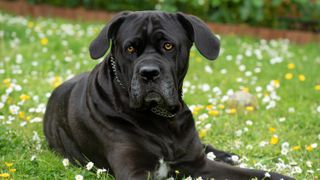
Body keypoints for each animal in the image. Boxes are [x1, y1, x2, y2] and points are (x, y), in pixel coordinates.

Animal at [43, 11, 294, 180]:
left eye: (168, 46)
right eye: (130, 48)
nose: (149, 73)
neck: (162, 119)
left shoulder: (198, 164)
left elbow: (257, 173)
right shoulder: (134, 171)